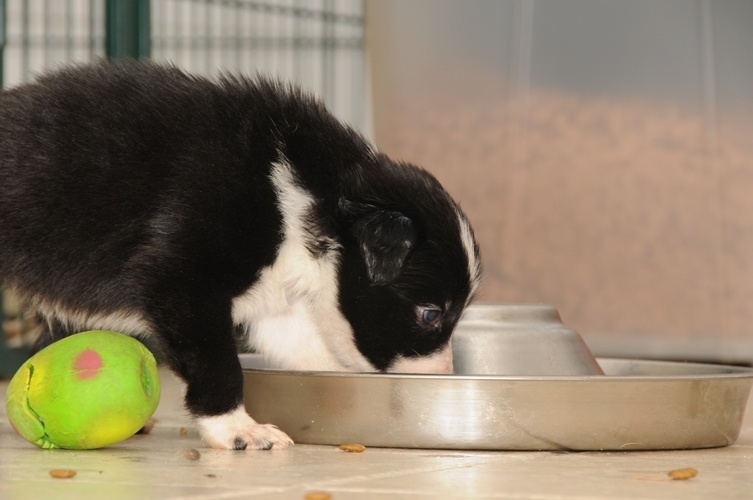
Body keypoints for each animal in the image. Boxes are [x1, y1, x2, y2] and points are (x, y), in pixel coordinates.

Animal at [0, 61, 482, 450]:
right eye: (430, 314)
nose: (444, 377)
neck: (306, 192)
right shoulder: (183, 280)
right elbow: (218, 363)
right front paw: (236, 429)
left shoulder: (276, 297)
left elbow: (307, 347)